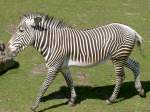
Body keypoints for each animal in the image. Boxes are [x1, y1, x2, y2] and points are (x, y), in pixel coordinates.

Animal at [6, 13, 144, 111]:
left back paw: (111, 99)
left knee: (120, 77)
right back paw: (140, 90)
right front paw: (72, 101)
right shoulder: (63, 66)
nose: (7, 50)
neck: (52, 42)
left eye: (21, 30)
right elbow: (70, 82)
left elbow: (43, 86)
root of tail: (131, 30)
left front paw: (34, 106)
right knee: (136, 65)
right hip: (121, 56)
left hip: (118, 57)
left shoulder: (54, 67)